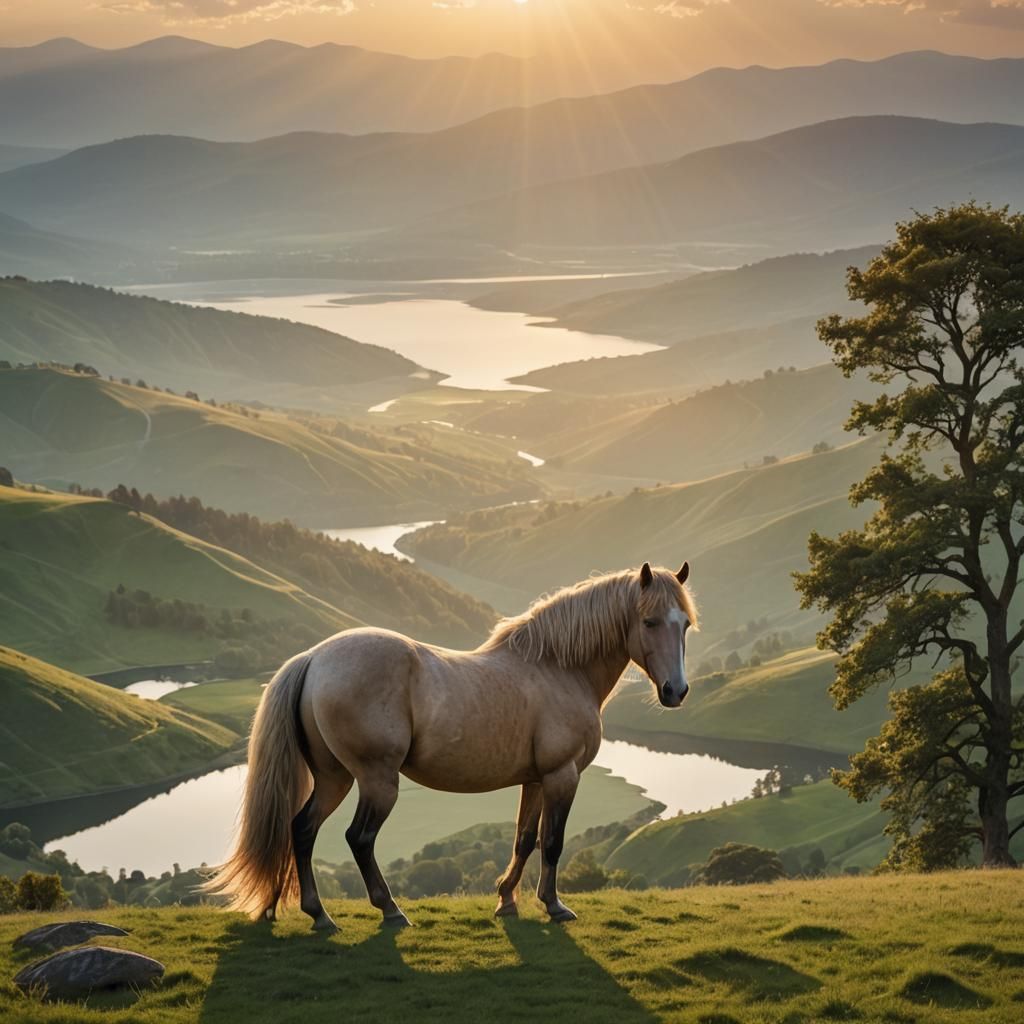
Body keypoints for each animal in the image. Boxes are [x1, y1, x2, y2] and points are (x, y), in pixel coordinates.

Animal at [203, 561, 697, 930]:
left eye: (685, 625)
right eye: (650, 621)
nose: (676, 692)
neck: (557, 668)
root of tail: (314, 658)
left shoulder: (536, 780)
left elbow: (524, 840)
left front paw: (506, 900)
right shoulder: (562, 776)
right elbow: (553, 842)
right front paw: (554, 906)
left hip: (333, 778)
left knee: (303, 830)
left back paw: (319, 915)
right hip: (375, 781)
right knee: (358, 838)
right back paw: (390, 911)